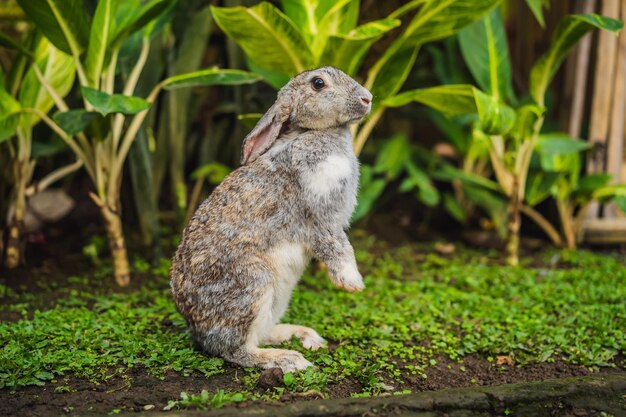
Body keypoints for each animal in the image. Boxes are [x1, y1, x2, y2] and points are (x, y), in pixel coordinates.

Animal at [169, 66, 370, 372]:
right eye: (318, 83)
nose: (367, 98)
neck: (313, 133)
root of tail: (194, 326)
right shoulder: (319, 217)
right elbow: (338, 248)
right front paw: (353, 284)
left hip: (278, 295)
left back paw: (304, 336)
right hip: (254, 284)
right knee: (234, 349)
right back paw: (288, 359)